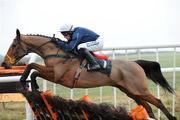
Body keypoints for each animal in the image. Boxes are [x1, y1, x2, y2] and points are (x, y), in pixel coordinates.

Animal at [1, 29, 176, 120]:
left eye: (14, 44)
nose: (5, 64)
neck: (57, 53)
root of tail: (135, 63)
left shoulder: (57, 75)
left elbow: (33, 67)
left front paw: (26, 81)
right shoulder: (53, 73)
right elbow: (34, 69)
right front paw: (33, 86)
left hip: (139, 89)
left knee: (158, 102)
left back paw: (172, 117)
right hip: (130, 91)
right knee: (147, 107)